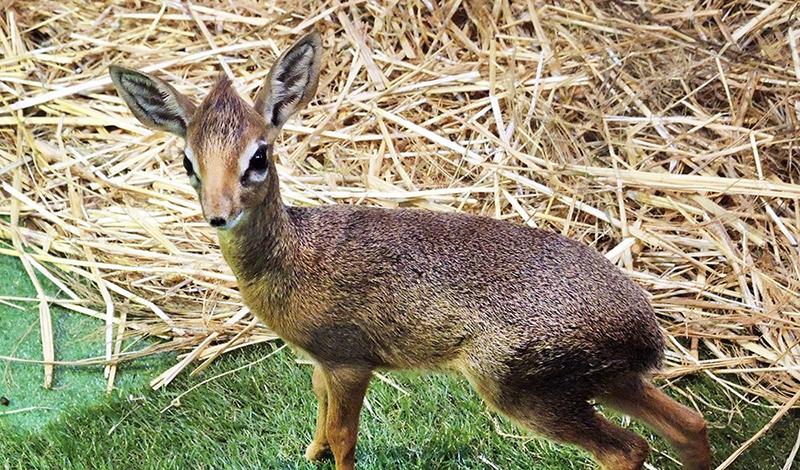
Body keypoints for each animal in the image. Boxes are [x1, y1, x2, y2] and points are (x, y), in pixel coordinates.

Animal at [111, 30, 712, 470]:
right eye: (188, 161)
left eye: (258, 157)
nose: (218, 213)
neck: (295, 258)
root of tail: (645, 331)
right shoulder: (321, 364)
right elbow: (320, 422)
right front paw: (307, 453)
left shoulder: (349, 359)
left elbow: (344, 439)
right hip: (600, 380)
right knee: (688, 425)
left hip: (520, 385)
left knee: (628, 449)